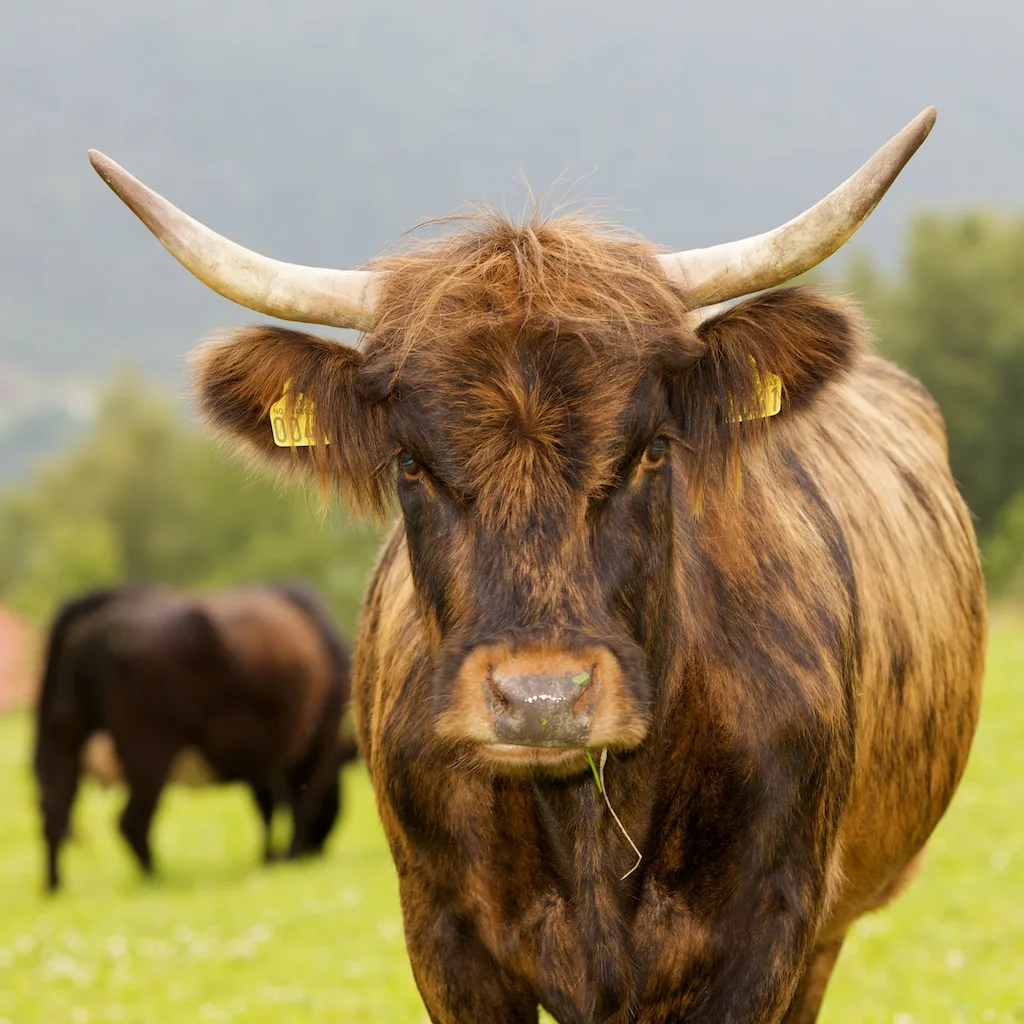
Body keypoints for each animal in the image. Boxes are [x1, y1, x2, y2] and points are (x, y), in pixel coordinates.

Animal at [34, 583, 357, 892]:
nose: (318, 851)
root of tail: (110, 598)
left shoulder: (262, 759)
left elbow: (267, 808)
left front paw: (269, 858)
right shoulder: (319, 743)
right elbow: (300, 803)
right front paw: (290, 855)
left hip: (62, 731)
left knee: (55, 810)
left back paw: (55, 885)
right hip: (148, 747)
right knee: (131, 821)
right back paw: (156, 878)